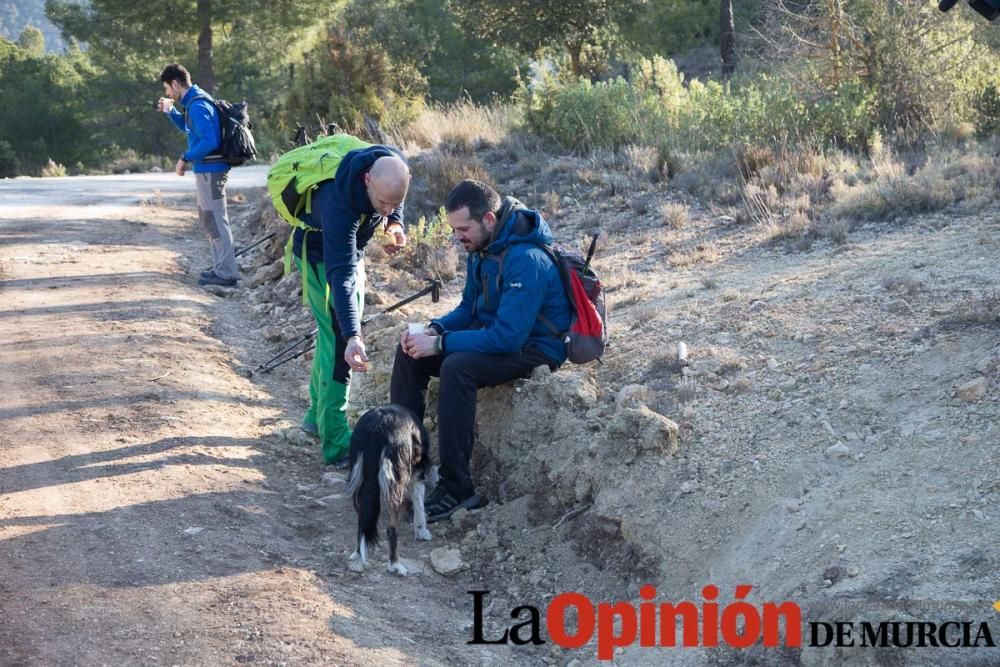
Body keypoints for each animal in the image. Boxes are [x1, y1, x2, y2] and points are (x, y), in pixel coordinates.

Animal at [346, 404, 432, 576]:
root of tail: (377, 427)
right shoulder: (418, 474)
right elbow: (419, 505)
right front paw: (422, 531)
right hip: (398, 478)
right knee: (391, 529)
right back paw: (395, 565)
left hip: (358, 476)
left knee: (363, 520)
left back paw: (358, 553)